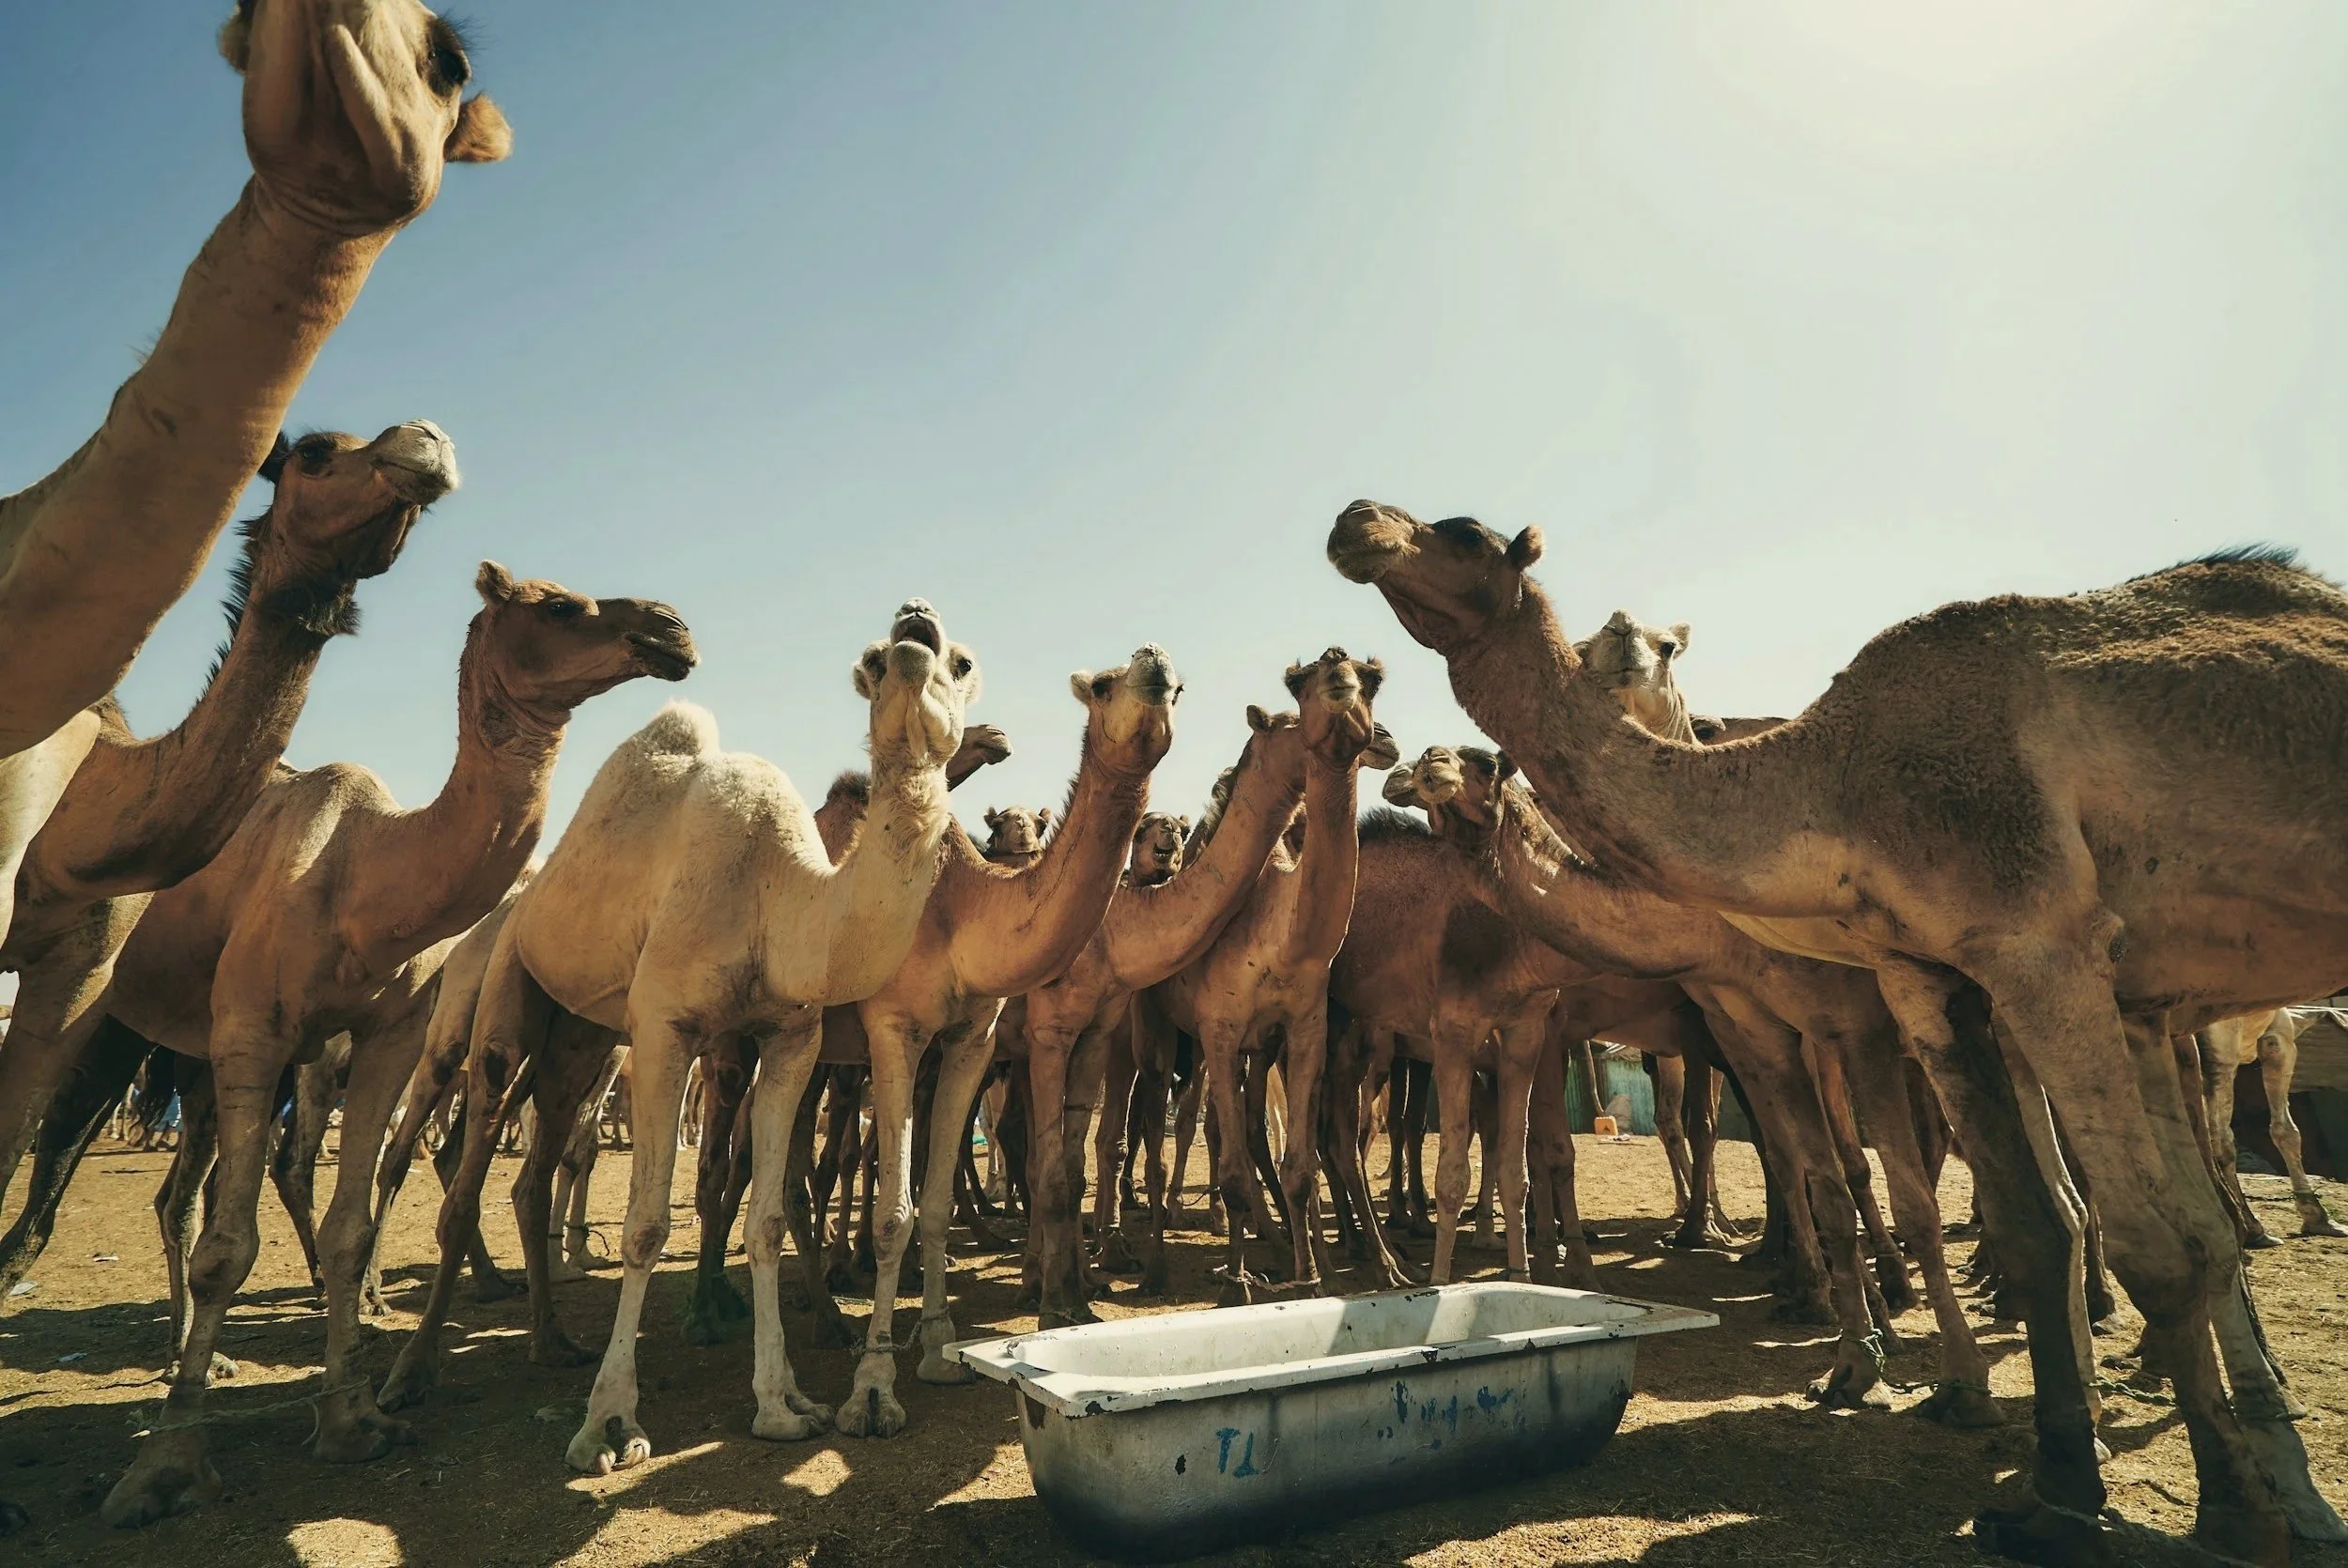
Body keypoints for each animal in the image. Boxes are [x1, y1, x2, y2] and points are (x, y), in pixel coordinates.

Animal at [87, 561, 694, 1527]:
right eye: (559, 605)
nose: (671, 629)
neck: (360, 873)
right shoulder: (255, 1028)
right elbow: (232, 1249)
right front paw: (165, 1467)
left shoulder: (381, 1038)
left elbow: (350, 1221)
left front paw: (350, 1421)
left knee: (211, 1189)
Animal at [381, 600, 978, 1475]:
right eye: (872, 663)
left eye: (960, 662)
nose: (914, 624)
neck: (779, 898)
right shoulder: (666, 1028)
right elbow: (646, 1226)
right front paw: (608, 1425)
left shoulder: (791, 1036)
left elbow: (765, 1219)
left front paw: (782, 1404)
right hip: (504, 986)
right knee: (464, 1160)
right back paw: (408, 1376)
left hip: (583, 1040)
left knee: (533, 1168)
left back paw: (551, 1341)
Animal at [1132, 651, 1389, 1302]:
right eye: (1296, 694)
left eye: (1372, 680)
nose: (1380, 735)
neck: (1277, 935)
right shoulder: (1221, 1027)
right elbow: (1227, 1169)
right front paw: (1236, 1286)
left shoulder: (1300, 1028)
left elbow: (1299, 1165)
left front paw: (1312, 1281)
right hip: (1160, 1029)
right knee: (1158, 1131)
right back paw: (1155, 1266)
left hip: (1245, 1050)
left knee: (1244, 1130)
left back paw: (1274, 1249)